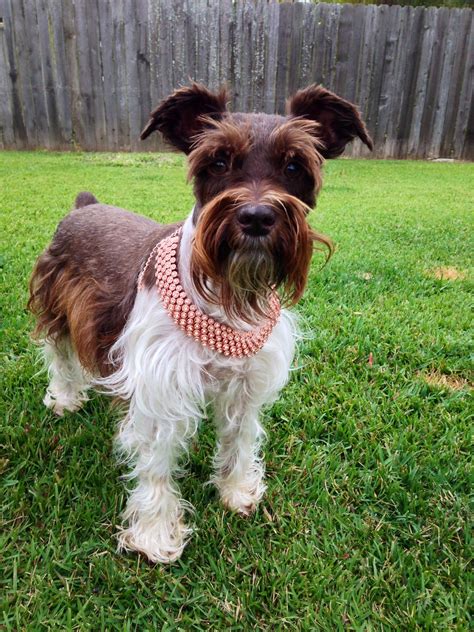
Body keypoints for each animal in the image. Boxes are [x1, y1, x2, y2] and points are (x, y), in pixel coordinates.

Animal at [27, 84, 372, 564]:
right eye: (218, 161)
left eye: (294, 166)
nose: (256, 217)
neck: (226, 297)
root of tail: (85, 205)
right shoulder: (161, 391)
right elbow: (156, 466)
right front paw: (154, 534)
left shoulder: (247, 383)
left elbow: (240, 439)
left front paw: (236, 490)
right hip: (57, 304)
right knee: (59, 352)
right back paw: (64, 397)